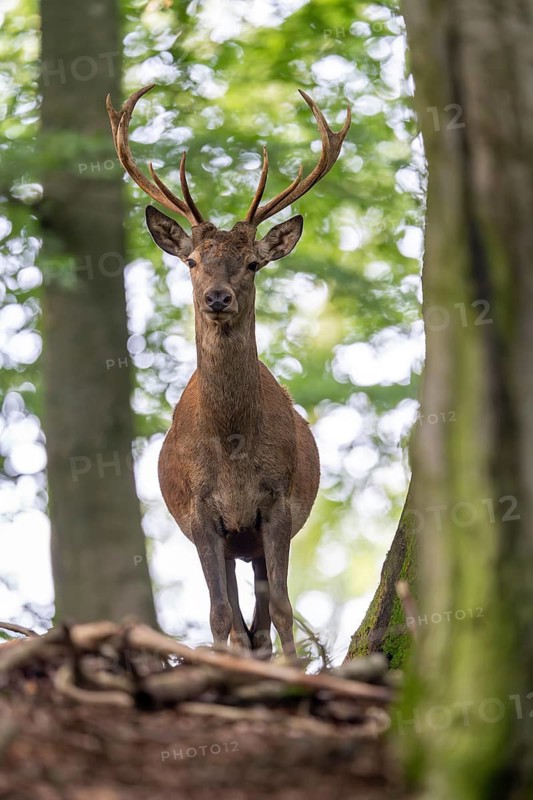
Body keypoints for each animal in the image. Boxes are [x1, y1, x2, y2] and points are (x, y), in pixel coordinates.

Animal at [106, 84, 351, 658]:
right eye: (192, 261)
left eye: (253, 263)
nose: (217, 297)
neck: (233, 446)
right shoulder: (201, 515)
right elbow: (219, 615)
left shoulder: (276, 505)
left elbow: (281, 611)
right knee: (241, 622)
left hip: (255, 539)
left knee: (261, 622)